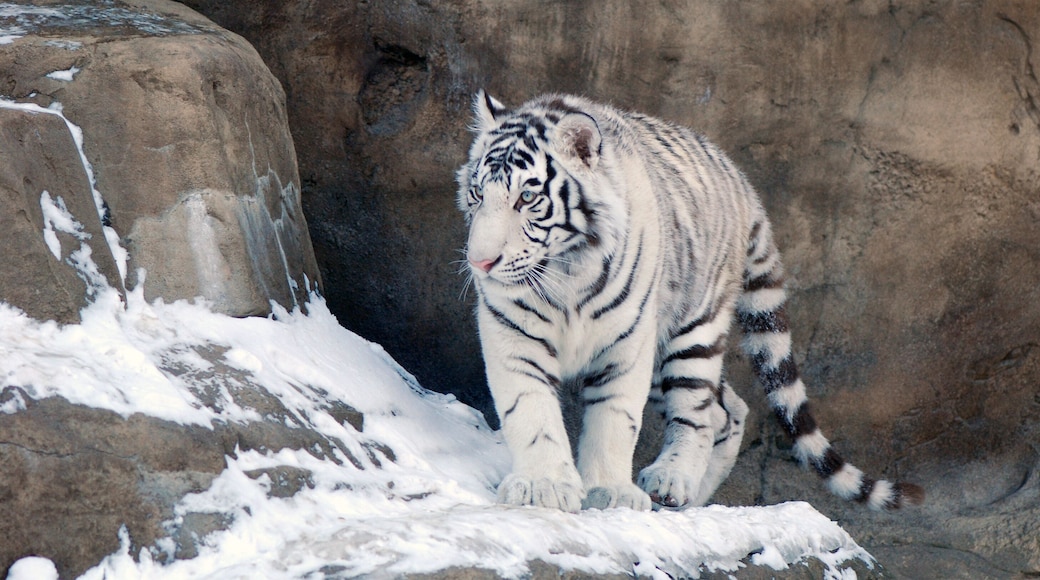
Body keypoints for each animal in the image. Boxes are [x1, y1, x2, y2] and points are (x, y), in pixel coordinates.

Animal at [456, 91, 924, 513]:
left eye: (527, 198)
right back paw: (690, 500)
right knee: (729, 409)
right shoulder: (513, 332)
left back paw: (672, 481)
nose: (481, 262)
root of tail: (742, 183)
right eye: (478, 193)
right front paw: (544, 487)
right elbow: (530, 411)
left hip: (691, 334)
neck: (566, 270)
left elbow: (614, 421)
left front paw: (609, 491)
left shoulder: (628, 343)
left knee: (701, 414)